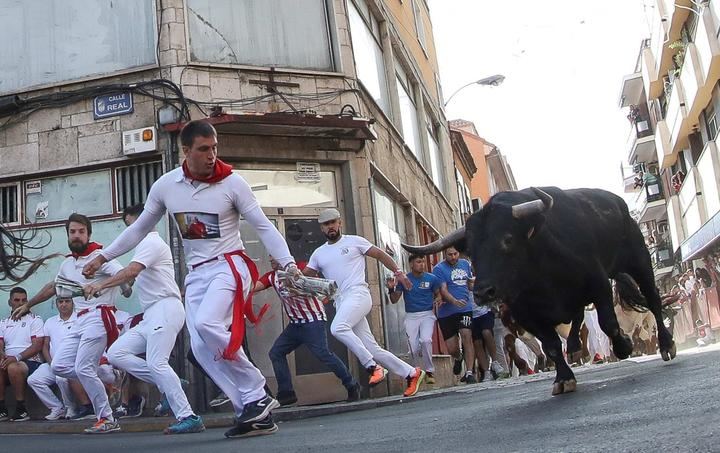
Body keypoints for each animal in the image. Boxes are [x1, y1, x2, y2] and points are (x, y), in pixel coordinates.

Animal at [402, 185, 676, 394]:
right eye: (469, 249)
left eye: (508, 239)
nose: (482, 292)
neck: (539, 275)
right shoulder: (525, 316)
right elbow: (551, 345)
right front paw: (563, 378)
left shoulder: (598, 284)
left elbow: (608, 323)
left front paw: (624, 346)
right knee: (576, 318)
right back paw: (574, 346)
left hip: (638, 260)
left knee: (652, 299)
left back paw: (666, 345)